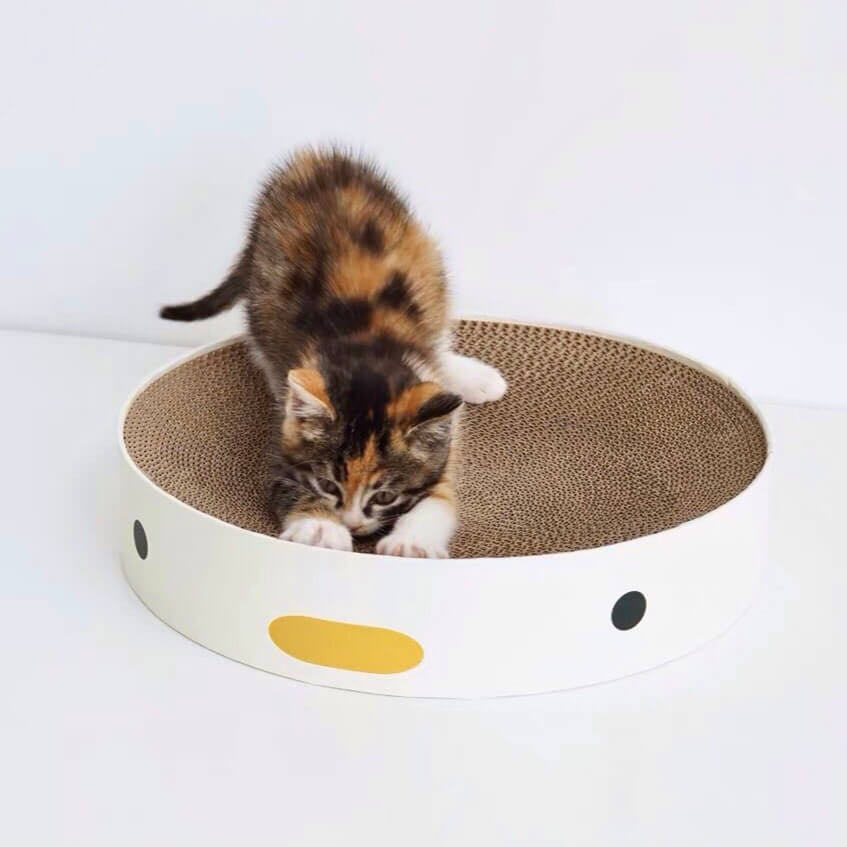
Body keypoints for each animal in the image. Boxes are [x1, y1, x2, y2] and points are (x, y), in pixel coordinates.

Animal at [159, 147, 504, 556]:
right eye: (328, 485)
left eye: (384, 496)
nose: (352, 524)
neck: (367, 350)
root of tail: (312, 158)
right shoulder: (286, 441)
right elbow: (290, 484)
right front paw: (320, 527)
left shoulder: (440, 454)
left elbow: (439, 500)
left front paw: (410, 542)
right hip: (262, 288)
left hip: (428, 266)